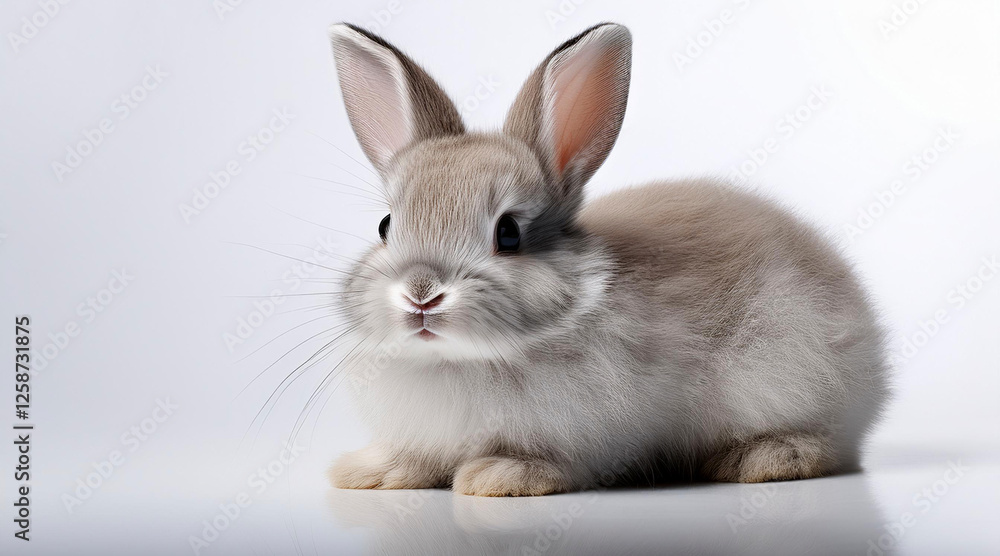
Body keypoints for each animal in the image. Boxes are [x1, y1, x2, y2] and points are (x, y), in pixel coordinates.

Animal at [324, 22, 888, 496]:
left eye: (508, 233)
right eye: (386, 226)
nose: (421, 294)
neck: (459, 359)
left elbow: (551, 460)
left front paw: (499, 477)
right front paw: (366, 473)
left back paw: (762, 460)